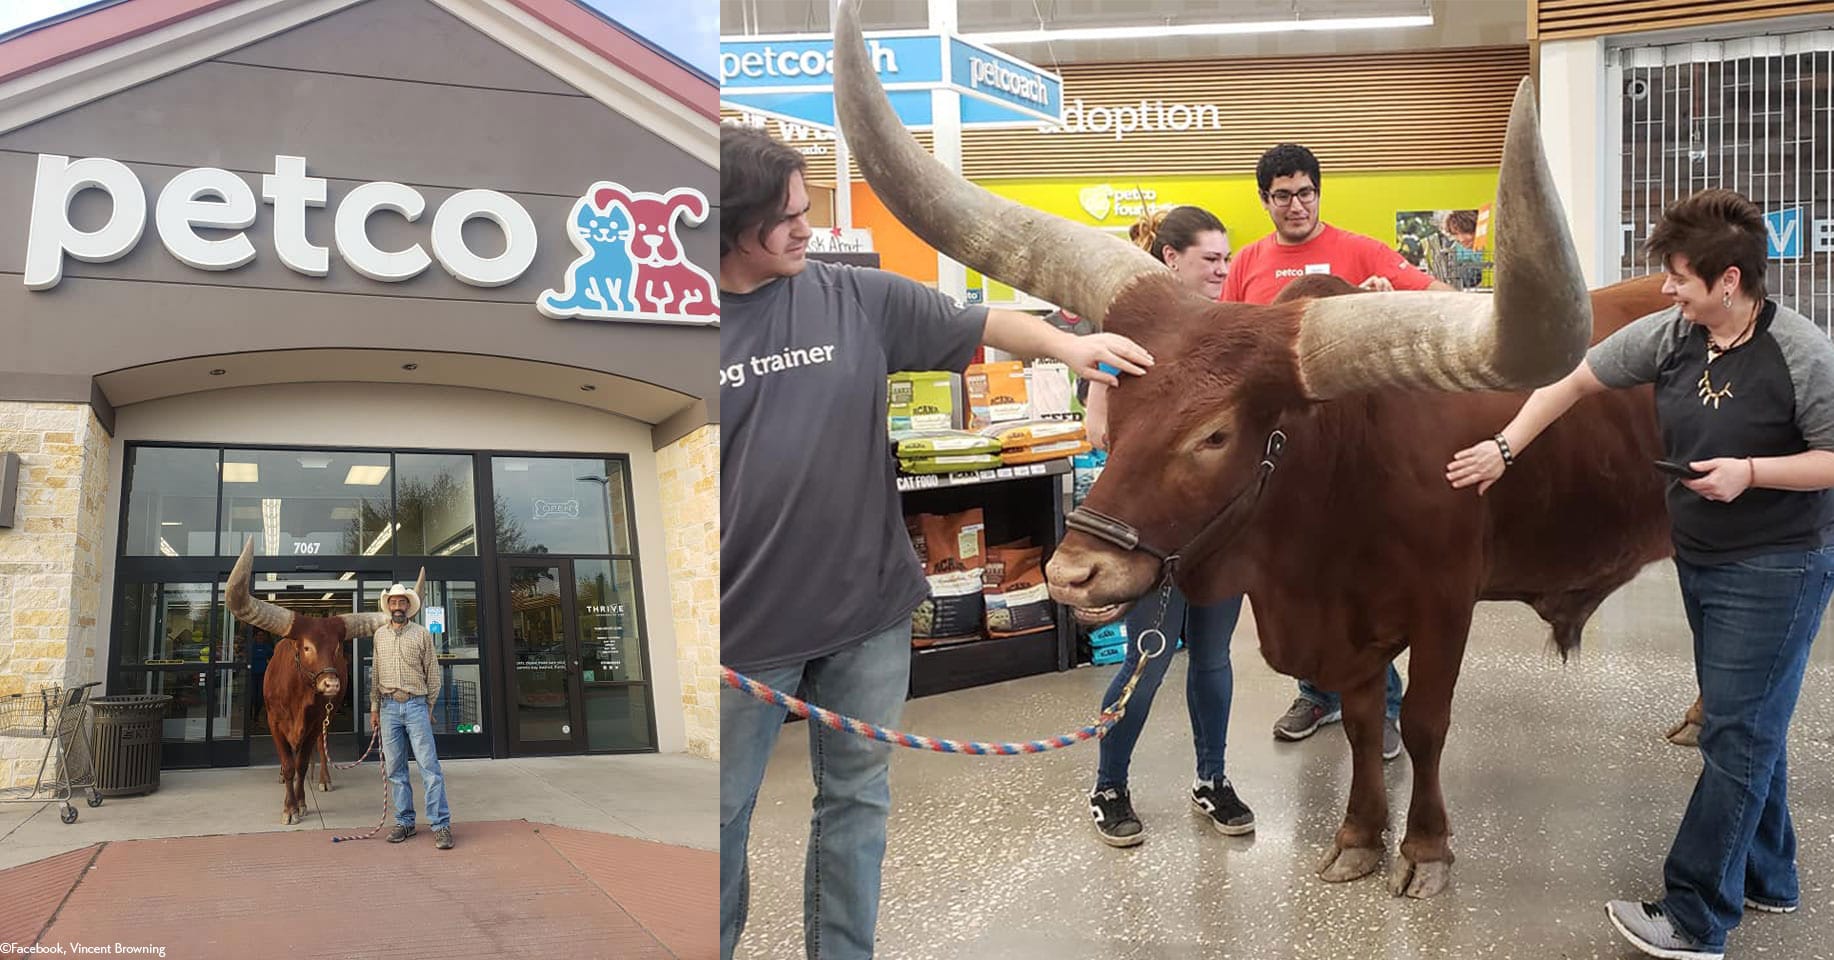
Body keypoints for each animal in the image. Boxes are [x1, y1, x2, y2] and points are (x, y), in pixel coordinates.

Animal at [227, 539, 414, 826]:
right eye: (306, 647)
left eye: (337, 648)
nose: (331, 685)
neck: (297, 697)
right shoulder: (274, 722)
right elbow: (288, 764)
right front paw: (289, 807)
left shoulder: (315, 722)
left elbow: (302, 764)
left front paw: (301, 803)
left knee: (320, 749)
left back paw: (323, 777)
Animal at [828, 0, 1679, 903]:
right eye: (1117, 403)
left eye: (1215, 434)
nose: (1074, 575)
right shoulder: (1347, 634)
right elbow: (1363, 720)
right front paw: (1356, 836)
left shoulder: (1446, 605)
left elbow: (1422, 723)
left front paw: (1424, 849)